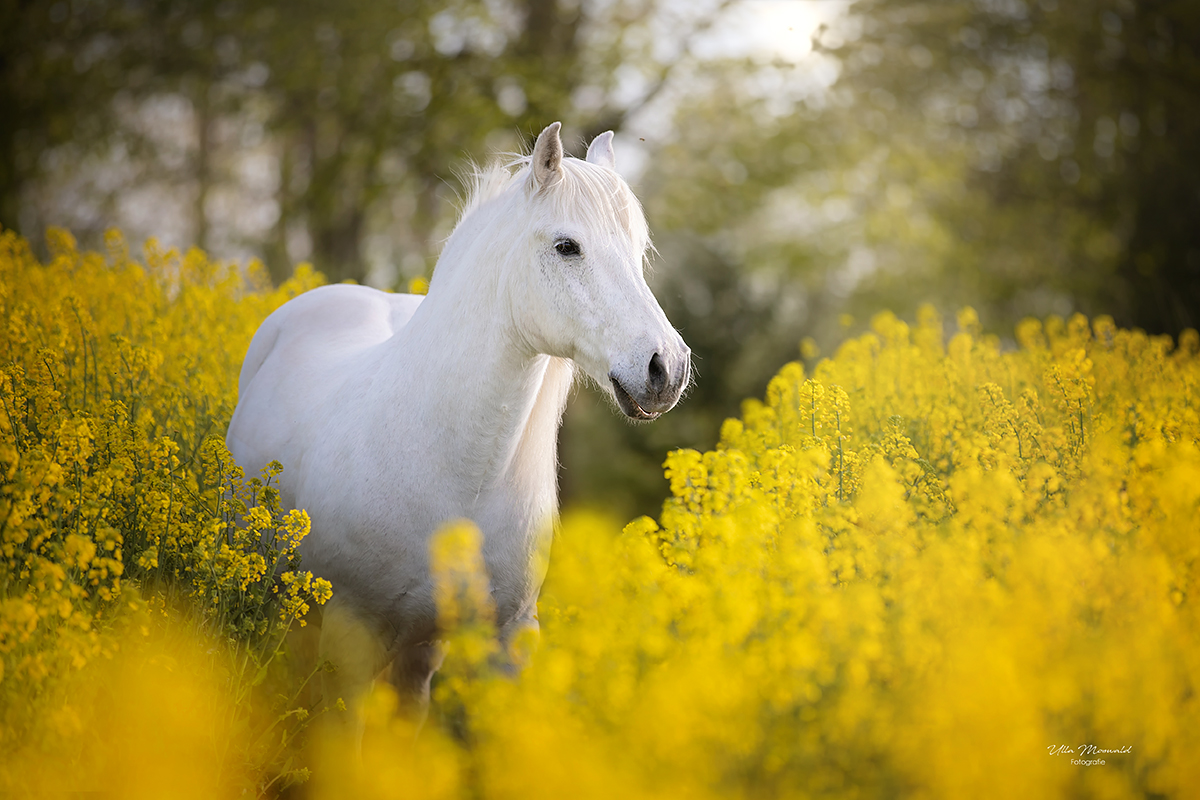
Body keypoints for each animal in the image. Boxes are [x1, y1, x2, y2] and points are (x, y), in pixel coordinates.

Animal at [228, 123, 691, 724]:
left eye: (639, 252)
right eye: (566, 246)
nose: (667, 368)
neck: (457, 472)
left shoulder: (505, 642)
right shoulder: (349, 637)